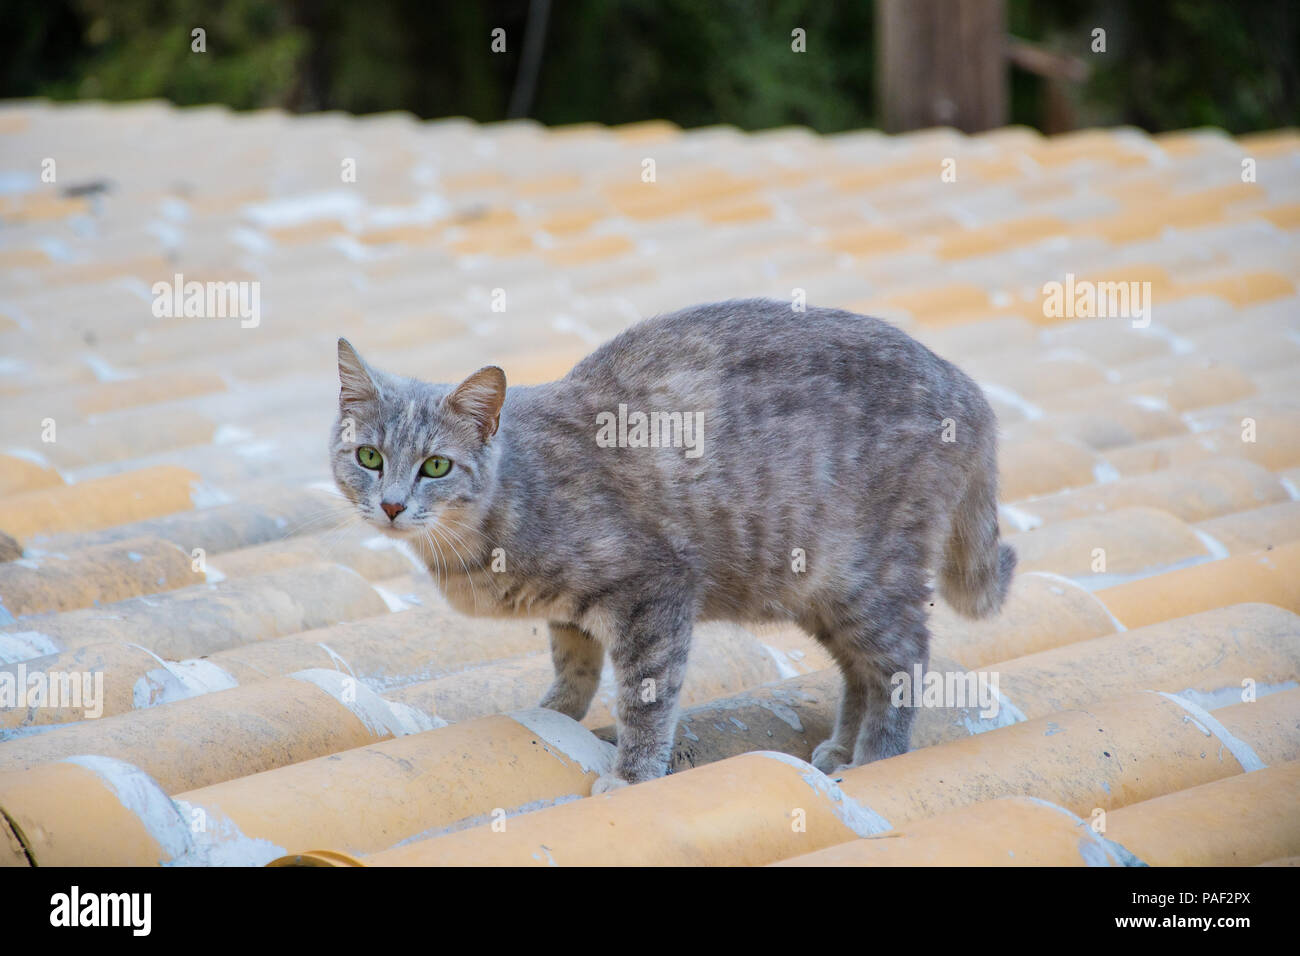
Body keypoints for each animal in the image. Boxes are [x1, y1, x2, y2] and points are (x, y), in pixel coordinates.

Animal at [327, 299, 1013, 790]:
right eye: (369, 457)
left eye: (436, 467)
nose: (391, 504)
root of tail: (970, 392)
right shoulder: (572, 613)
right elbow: (574, 666)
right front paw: (553, 713)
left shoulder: (653, 590)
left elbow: (646, 696)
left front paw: (630, 775)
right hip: (819, 588)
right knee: (859, 669)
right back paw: (843, 744)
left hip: (866, 576)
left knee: (902, 659)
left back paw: (873, 757)